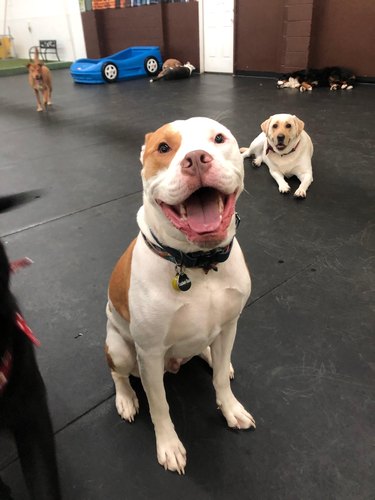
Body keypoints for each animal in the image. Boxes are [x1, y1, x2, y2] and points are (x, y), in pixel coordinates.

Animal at [106, 115, 258, 474]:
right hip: (119, 348)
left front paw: (230, 408)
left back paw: (212, 357)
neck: (198, 264)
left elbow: (220, 380)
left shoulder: (230, 325)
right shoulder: (149, 354)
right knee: (118, 373)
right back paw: (126, 399)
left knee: (213, 356)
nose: (197, 159)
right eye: (164, 148)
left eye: (219, 139)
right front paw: (169, 445)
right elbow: (159, 405)